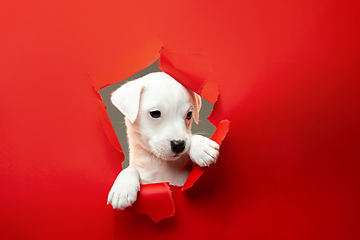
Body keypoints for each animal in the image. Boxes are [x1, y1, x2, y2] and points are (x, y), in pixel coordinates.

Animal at [107, 72, 219, 209]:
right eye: (155, 113)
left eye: (189, 115)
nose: (179, 145)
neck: (161, 164)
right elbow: (131, 169)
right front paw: (122, 188)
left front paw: (201, 146)